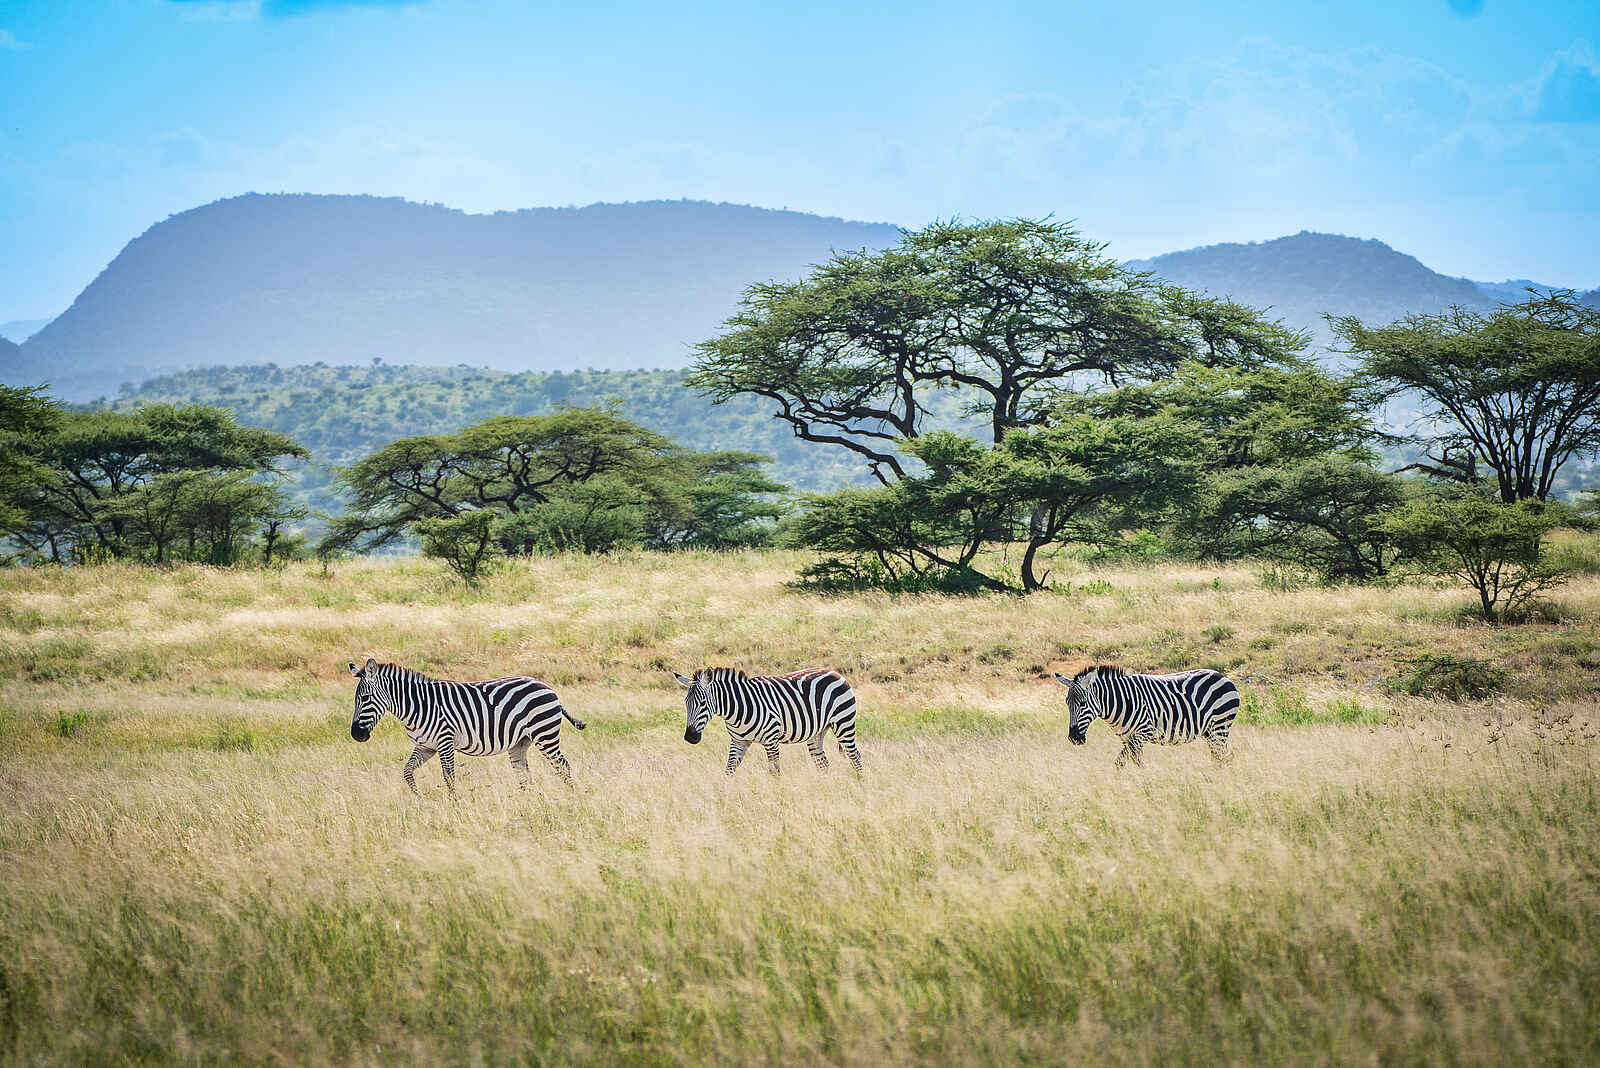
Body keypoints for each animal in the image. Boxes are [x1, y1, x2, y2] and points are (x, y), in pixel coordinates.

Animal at [347, 658, 586, 795]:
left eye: (365, 698)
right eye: (356, 699)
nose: (356, 735)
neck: (418, 706)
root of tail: (547, 687)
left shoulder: (445, 741)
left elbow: (449, 777)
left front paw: (455, 805)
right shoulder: (425, 746)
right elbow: (407, 772)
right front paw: (418, 798)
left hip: (545, 734)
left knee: (563, 766)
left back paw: (572, 797)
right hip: (520, 743)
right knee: (524, 774)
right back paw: (529, 802)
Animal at [672, 667, 863, 776]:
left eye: (703, 703)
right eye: (686, 703)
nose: (690, 737)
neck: (737, 709)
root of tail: (834, 672)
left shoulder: (771, 739)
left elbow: (774, 772)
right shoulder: (738, 741)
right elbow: (729, 771)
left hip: (843, 722)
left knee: (855, 756)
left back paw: (860, 784)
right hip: (817, 732)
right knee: (822, 763)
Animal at [1053, 664, 1239, 768]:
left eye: (1083, 704)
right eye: (1067, 704)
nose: (1074, 738)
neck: (1121, 701)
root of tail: (1223, 677)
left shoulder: (1142, 733)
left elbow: (1133, 762)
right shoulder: (1127, 738)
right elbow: (1121, 762)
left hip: (1220, 726)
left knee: (1221, 756)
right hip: (1209, 732)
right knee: (1222, 756)